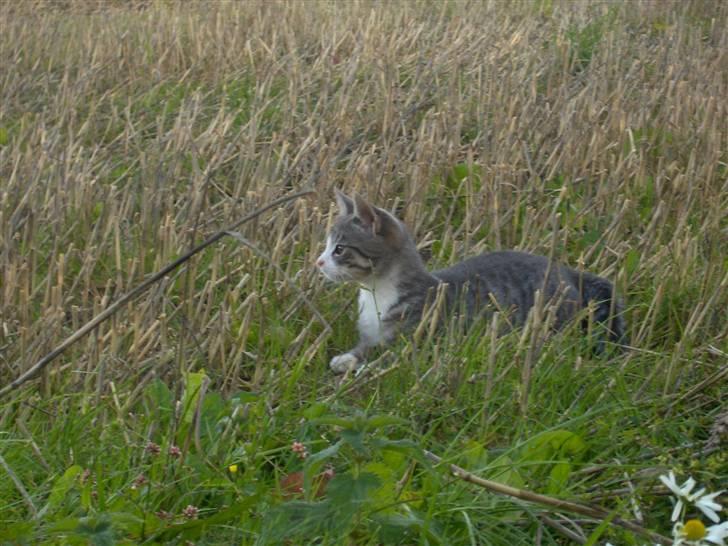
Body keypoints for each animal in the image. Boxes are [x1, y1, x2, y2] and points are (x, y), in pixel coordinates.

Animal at [314, 189, 624, 372]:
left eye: (339, 249)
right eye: (326, 245)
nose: (318, 262)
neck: (376, 292)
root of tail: (565, 270)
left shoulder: (420, 338)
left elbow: (394, 357)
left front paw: (365, 367)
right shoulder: (371, 333)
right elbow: (365, 346)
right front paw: (348, 358)